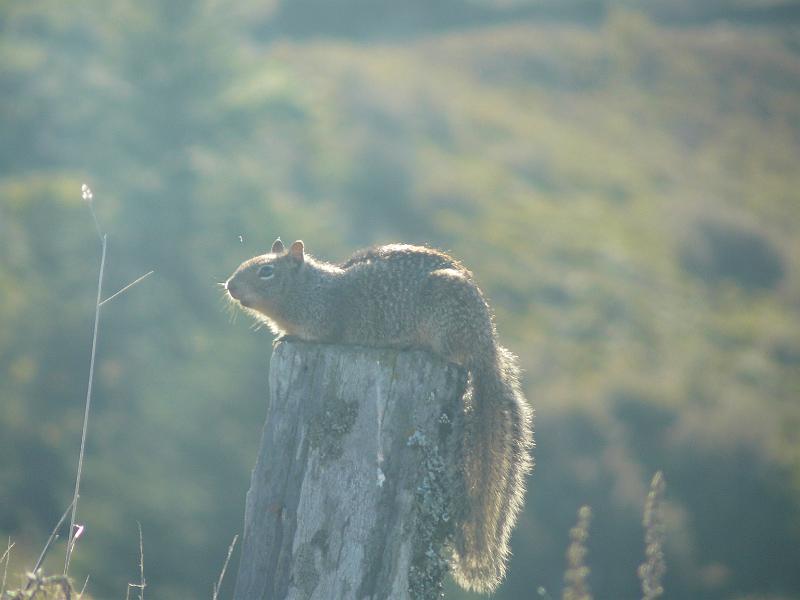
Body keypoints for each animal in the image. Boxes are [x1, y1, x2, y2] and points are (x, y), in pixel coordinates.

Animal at [225, 238, 534, 594]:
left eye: (266, 271)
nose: (230, 286)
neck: (311, 288)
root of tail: (486, 344)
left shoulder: (322, 319)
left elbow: (314, 335)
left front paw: (289, 337)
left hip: (446, 321)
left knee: (450, 355)